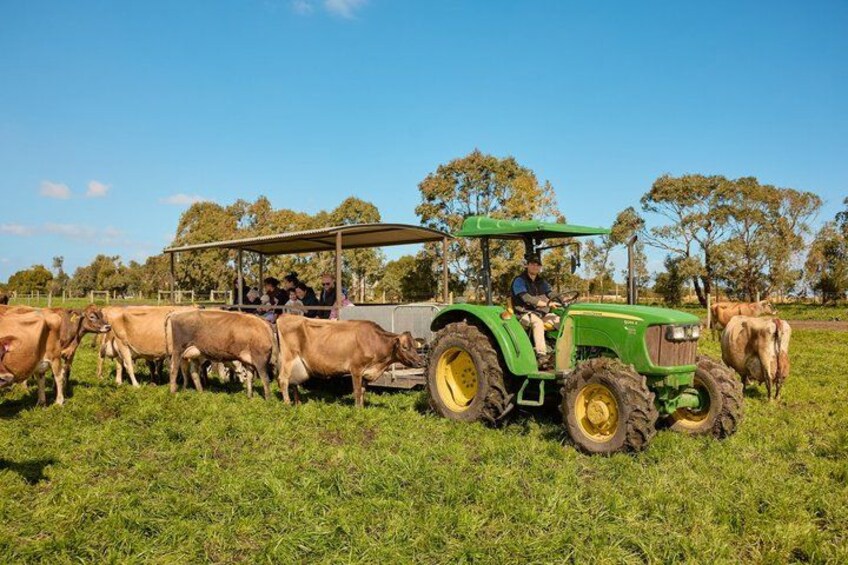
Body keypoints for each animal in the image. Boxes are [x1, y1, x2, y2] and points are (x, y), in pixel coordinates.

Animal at [275, 316, 424, 408]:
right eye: (405, 347)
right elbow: (357, 391)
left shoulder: (366, 373)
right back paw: (287, 404)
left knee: (293, 382)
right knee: (283, 379)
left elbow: (363, 391)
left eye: (415, 346)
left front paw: (362, 408)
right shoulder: (356, 369)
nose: (420, 363)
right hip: (288, 358)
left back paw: (298, 403)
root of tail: (284, 316)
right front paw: (357, 410)